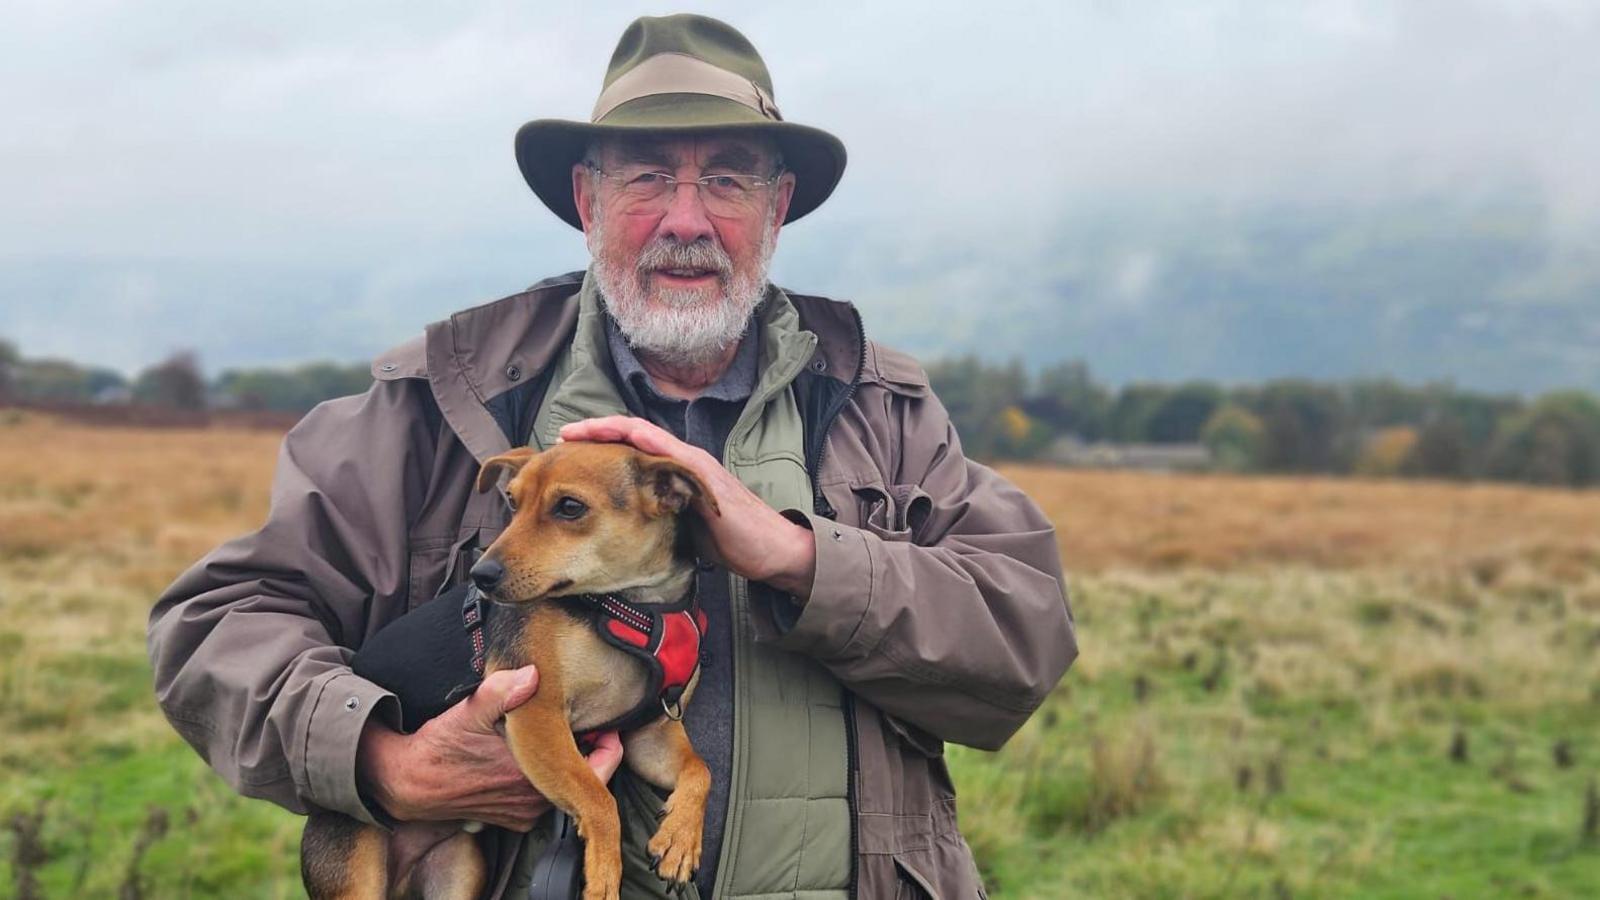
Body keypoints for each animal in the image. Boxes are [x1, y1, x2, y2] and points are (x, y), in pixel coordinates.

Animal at [302, 441, 716, 896]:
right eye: (513, 503)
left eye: (570, 507)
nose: (481, 574)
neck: (630, 604)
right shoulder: (537, 714)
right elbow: (598, 799)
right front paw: (604, 875)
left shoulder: (649, 732)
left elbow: (700, 770)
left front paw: (680, 838)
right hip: (356, 872)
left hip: (458, 870)